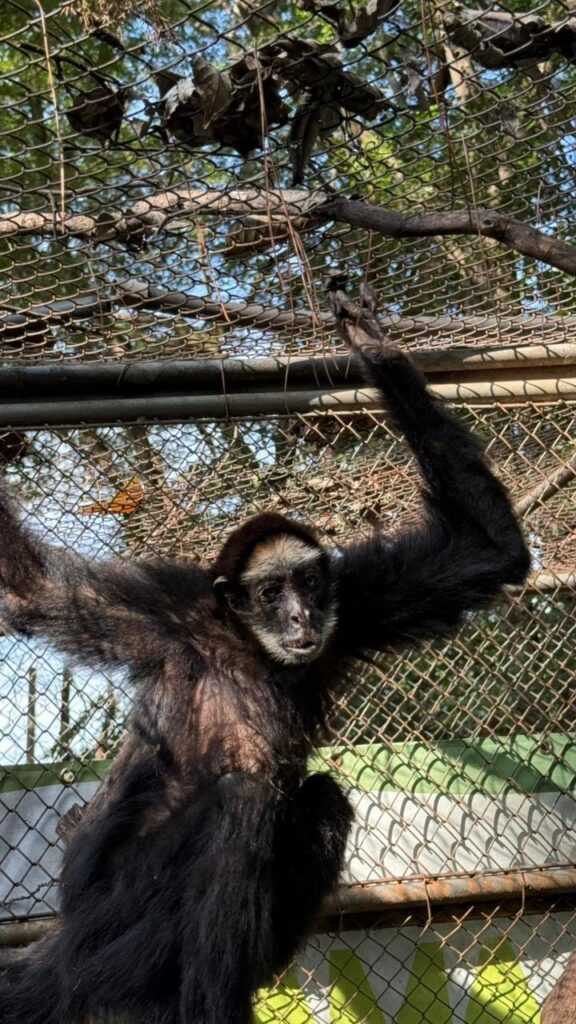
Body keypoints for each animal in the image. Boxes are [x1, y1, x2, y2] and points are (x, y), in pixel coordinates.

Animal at [0, 279, 530, 1024]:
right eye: (273, 590)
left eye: (306, 582)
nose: (301, 613)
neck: (250, 650)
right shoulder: (168, 616)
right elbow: (26, 586)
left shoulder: (354, 603)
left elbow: (486, 549)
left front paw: (372, 342)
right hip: (118, 909)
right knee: (243, 796)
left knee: (320, 797)